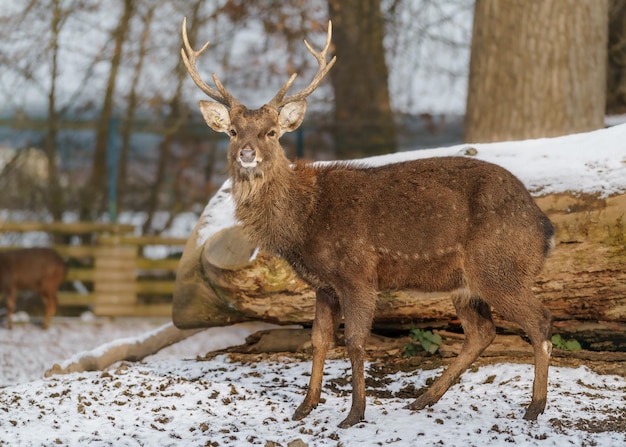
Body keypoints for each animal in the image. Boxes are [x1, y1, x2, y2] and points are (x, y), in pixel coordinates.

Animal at [179, 18, 552, 430]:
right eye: (232, 131)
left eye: (271, 132)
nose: (247, 153)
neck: (303, 221)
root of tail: (543, 225)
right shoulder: (323, 285)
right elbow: (319, 340)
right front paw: (304, 407)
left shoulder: (357, 273)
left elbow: (356, 341)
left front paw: (354, 414)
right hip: (464, 283)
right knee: (481, 332)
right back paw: (423, 399)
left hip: (499, 266)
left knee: (539, 321)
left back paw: (534, 407)